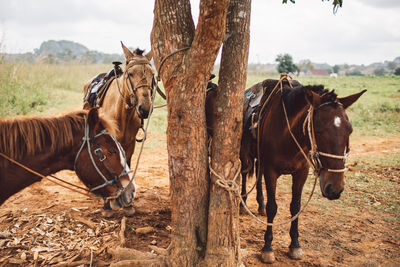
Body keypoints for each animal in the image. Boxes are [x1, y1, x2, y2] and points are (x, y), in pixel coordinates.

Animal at [239, 78, 368, 264]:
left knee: (257, 174)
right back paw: (243, 202)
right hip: (245, 154)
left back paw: (260, 205)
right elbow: (273, 207)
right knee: (244, 173)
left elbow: (295, 207)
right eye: (319, 129)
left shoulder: (301, 173)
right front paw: (267, 248)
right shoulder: (272, 172)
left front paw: (294, 245)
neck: (287, 135)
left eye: (349, 130)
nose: (335, 188)